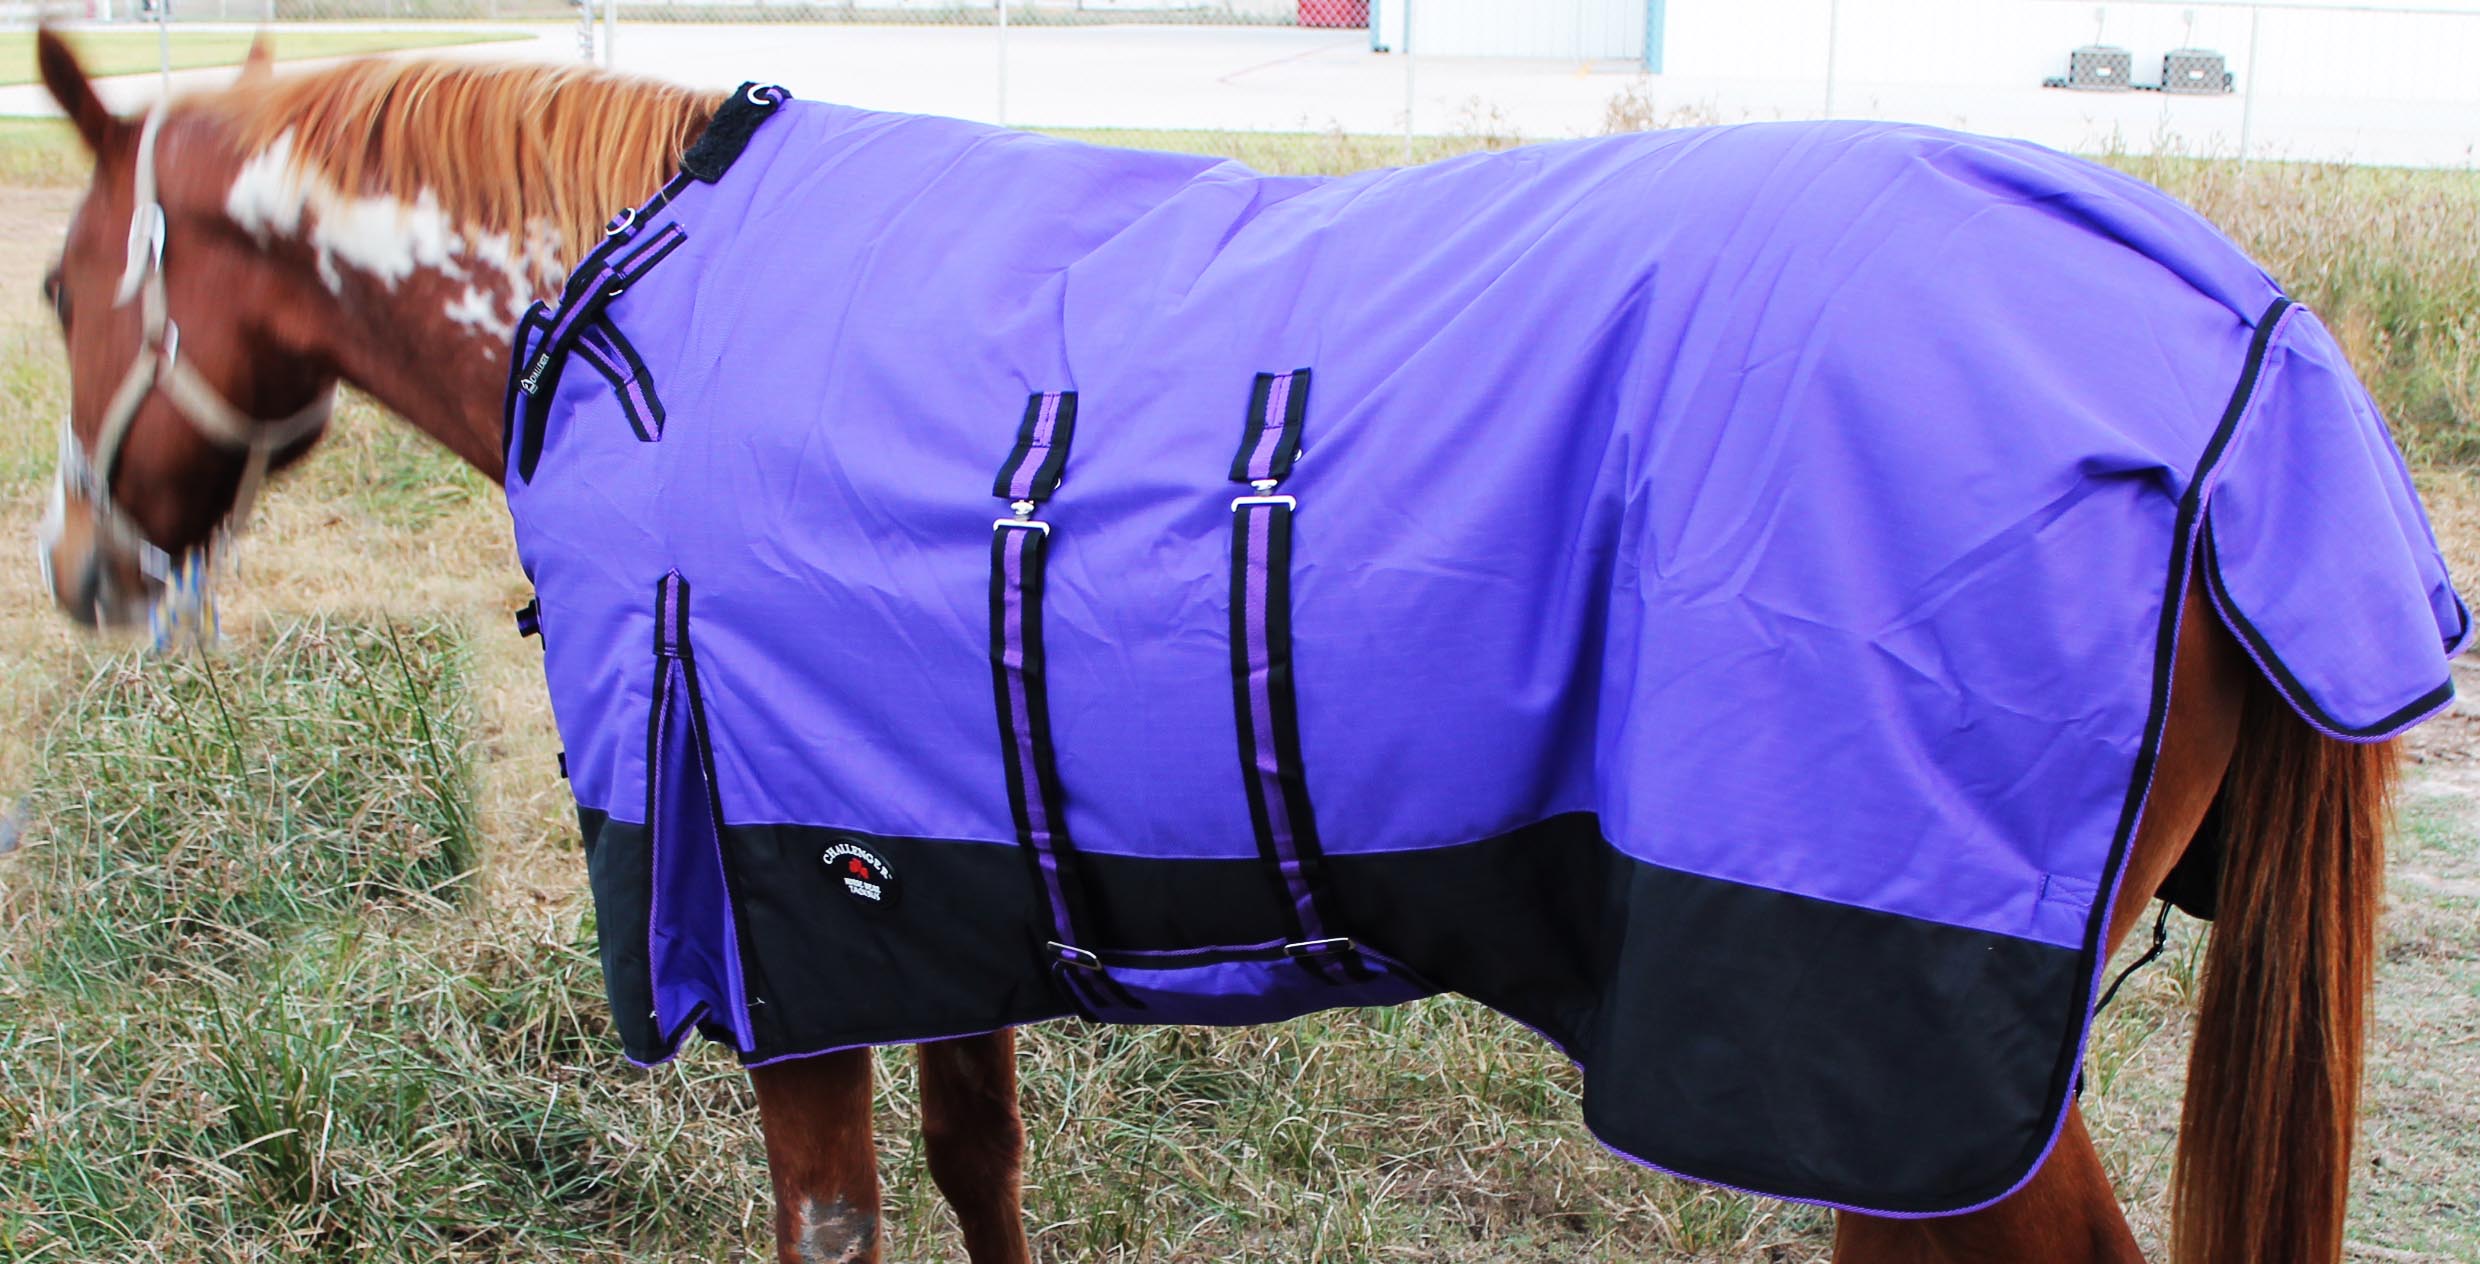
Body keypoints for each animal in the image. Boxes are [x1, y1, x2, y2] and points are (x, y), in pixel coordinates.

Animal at [28, 31, 2442, 1264]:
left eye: (62, 285)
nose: (81, 578)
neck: (649, 308)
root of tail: (2253, 349)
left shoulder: (758, 931)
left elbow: (839, 1221)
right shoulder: (891, 881)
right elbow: (980, 1168)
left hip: (1904, 1093)